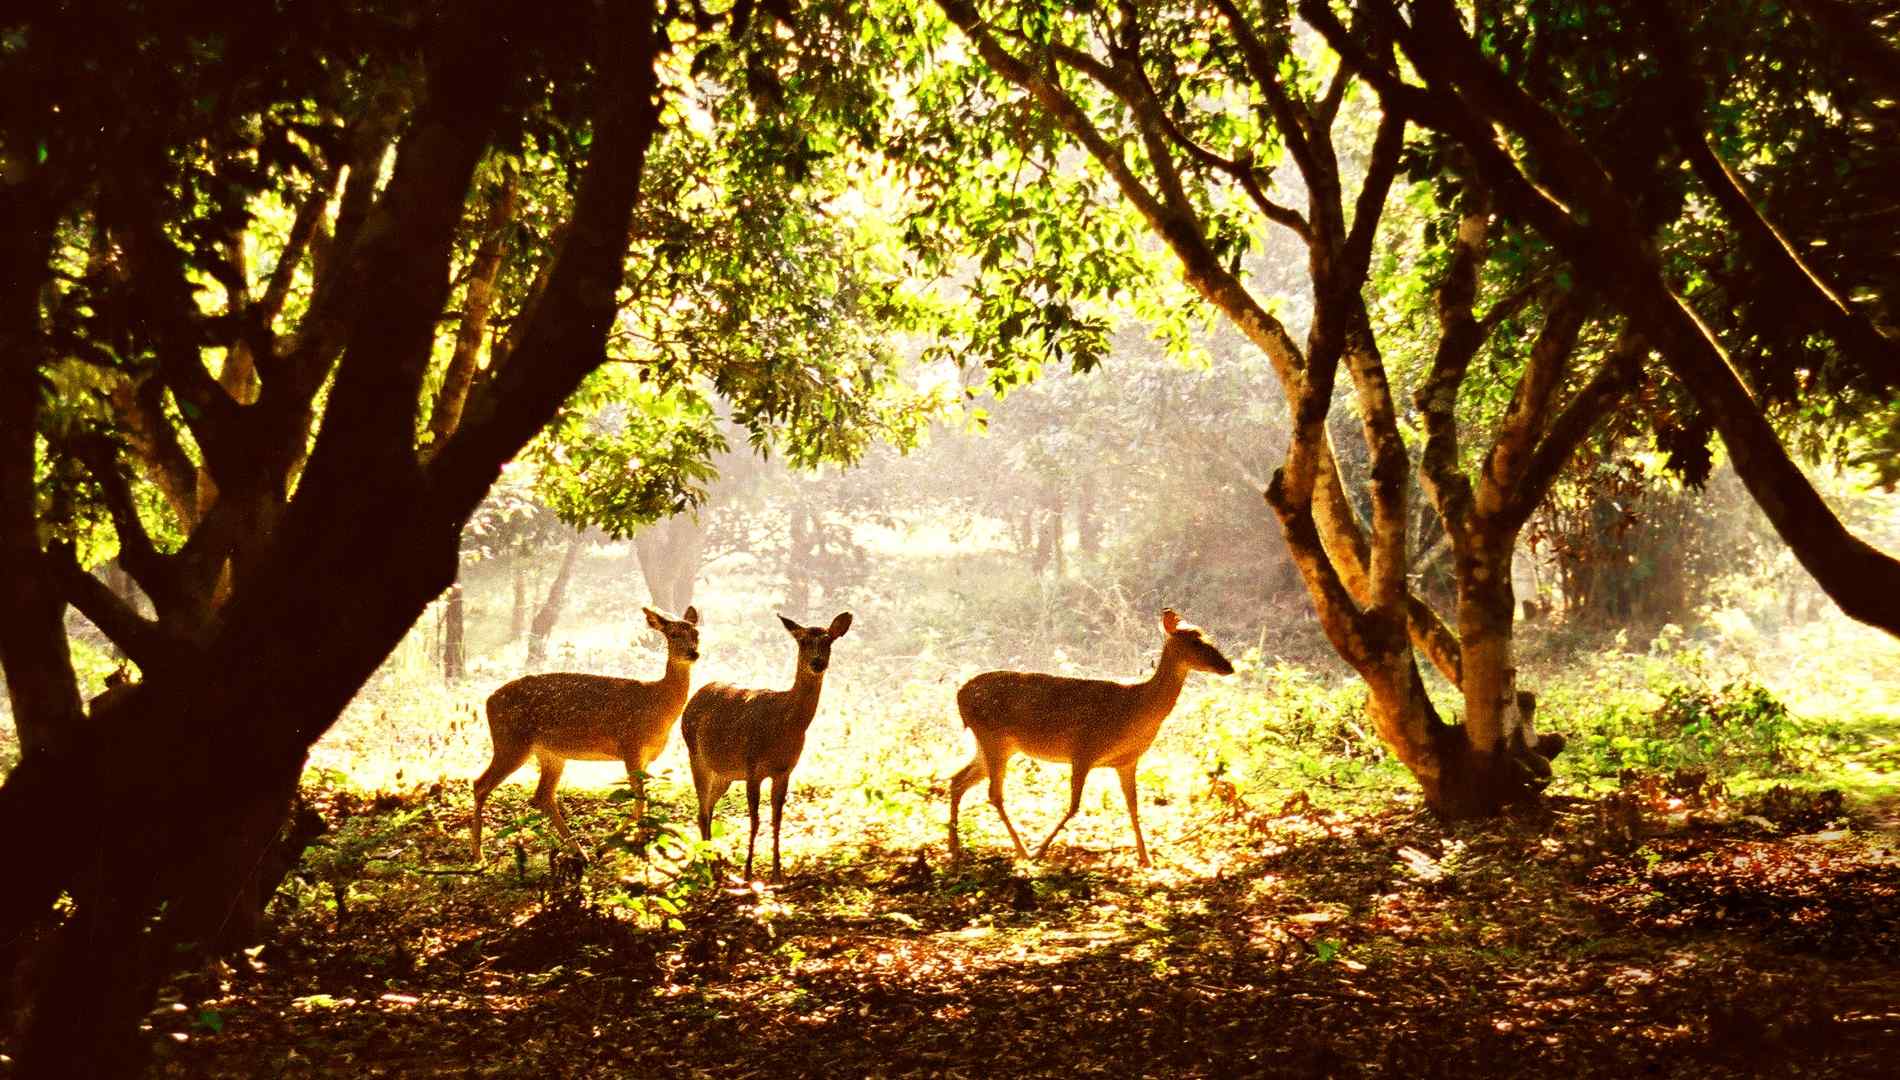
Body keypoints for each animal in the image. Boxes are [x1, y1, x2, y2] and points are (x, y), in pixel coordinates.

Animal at [471, 604, 703, 863]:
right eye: (673, 634)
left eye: (696, 633)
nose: (693, 653)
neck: (657, 704)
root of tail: (488, 701)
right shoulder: (630, 745)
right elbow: (640, 804)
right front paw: (612, 847)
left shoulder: (646, 758)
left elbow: (644, 803)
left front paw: (639, 846)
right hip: (511, 742)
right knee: (480, 784)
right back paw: (478, 854)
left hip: (550, 753)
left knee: (542, 795)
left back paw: (579, 851)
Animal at [684, 612, 855, 882]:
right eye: (803, 641)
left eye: (829, 641)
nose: (818, 663)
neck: (784, 724)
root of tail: (695, 696)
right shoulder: (752, 767)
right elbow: (754, 820)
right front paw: (747, 873)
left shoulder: (785, 771)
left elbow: (777, 819)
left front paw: (777, 872)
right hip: (695, 755)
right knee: (702, 811)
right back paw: (710, 869)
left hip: (724, 774)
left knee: (707, 810)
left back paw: (717, 866)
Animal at [946, 608, 1231, 870]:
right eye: (1195, 641)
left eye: (1207, 636)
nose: (1228, 666)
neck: (1135, 709)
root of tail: (959, 695)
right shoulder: (1083, 749)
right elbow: (1074, 806)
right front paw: (1040, 851)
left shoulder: (1127, 761)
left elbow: (1133, 806)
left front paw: (1146, 858)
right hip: (993, 738)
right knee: (993, 794)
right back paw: (1023, 852)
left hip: (996, 745)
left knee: (957, 780)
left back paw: (955, 848)